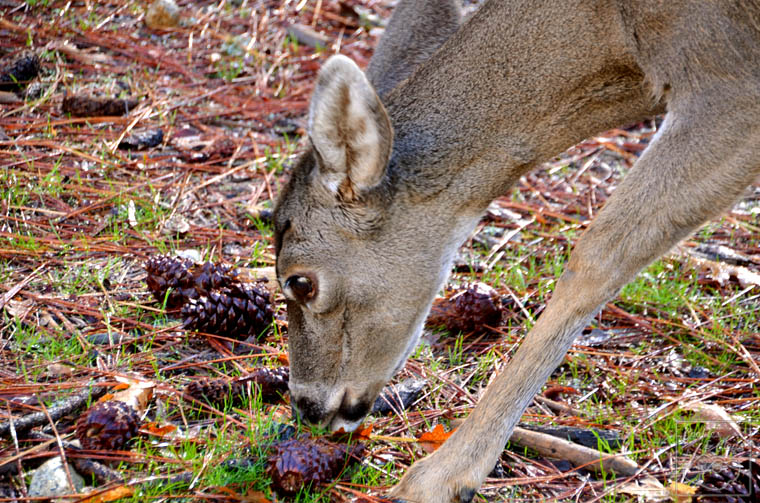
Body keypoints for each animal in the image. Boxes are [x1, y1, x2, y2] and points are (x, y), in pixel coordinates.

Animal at [274, 0, 760, 500]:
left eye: (301, 282)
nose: (305, 404)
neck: (621, 35)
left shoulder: (732, 85)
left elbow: (599, 253)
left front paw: (441, 476)